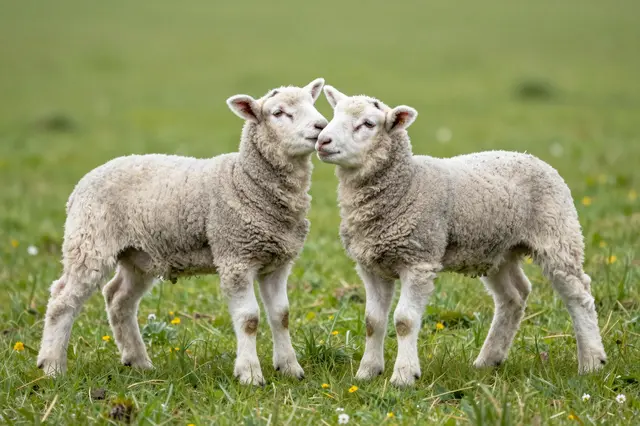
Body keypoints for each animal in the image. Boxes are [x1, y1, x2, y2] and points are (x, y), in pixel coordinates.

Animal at [36, 78, 328, 386]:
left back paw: (139, 362)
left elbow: (282, 316)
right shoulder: (235, 256)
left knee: (118, 299)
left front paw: (290, 368)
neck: (244, 179)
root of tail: (82, 183)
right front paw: (249, 374)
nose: (322, 126)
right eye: (278, 113)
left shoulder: (278, 262)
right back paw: (52, 366)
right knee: (62, 300)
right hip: (89, 241)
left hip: (138, 255)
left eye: (312, 103)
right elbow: (249, 319)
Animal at [315, 85, 607, 387]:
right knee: (514, 296)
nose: (322, 140)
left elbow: (404, 321)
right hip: (498, 249)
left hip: (558, 234)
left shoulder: (419, 260)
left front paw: (404, 376)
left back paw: (592, 362)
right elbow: (373, 322)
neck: (407, 183)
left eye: (368, 124)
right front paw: (367, 373)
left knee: (579, 295)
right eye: (334, 115)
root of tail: (530, 156)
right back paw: (488, 360)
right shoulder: (371, 265)